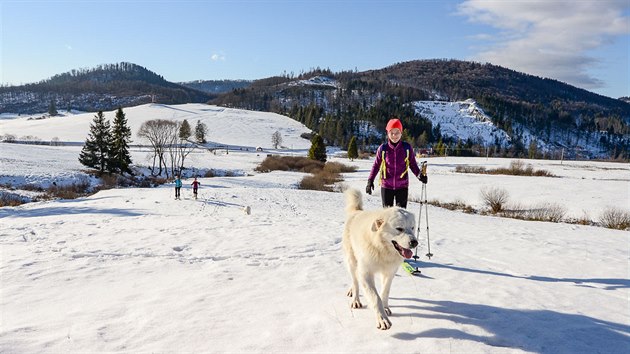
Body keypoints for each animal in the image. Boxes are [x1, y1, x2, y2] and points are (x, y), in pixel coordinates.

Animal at [344, 188, 418, 330]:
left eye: (412, 228)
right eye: (399, 229)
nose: (414, 242)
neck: (381, 249)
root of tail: (357, 212)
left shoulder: (389, 273)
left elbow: (384, 292)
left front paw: (386, 308)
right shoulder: (366, 273)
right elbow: (375, 297)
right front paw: (382, 319)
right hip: (352, 261)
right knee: (355, 281)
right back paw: (355, 300)